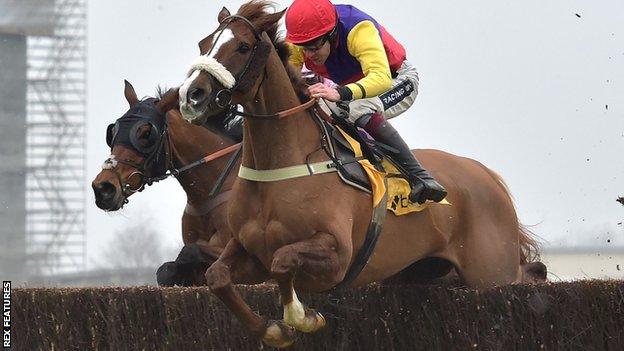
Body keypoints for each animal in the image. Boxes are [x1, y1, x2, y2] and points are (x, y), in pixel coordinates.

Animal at [174, 1, 540, 350]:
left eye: (243, 47)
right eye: (204, 43)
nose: (191, 96)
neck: (281, 166)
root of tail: (488, 175)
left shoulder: (337, 256)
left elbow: (283, 260)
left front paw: (303, 317)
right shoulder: (246, 251)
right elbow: (217, 276)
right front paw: (273, 330)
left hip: (491, 273)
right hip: (420, 271)